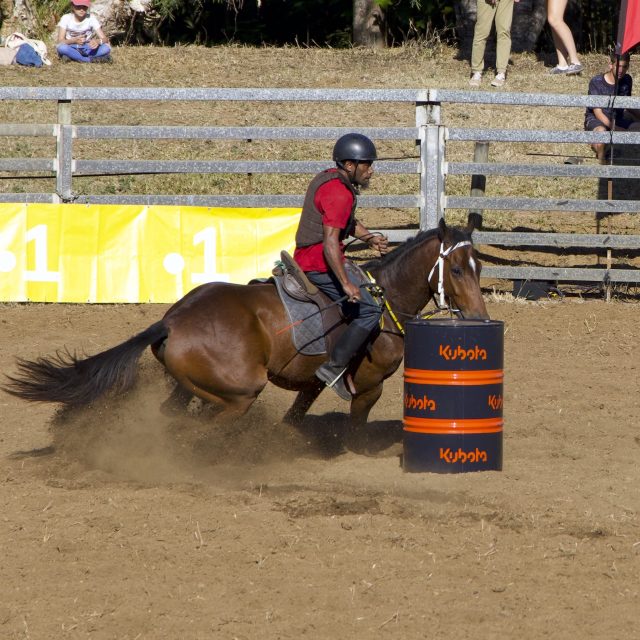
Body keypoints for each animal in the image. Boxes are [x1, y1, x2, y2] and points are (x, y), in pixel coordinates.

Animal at [2, 219, 488, 444]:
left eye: (479, 266)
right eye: (457, 268)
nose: (480, 316)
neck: (383, 301)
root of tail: (172, 321)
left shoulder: (312, 381)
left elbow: (298, 412)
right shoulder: (369, 385)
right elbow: (354, 425)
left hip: (191, 385)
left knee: (173, 416)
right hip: (237, 394)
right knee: (198, 429)